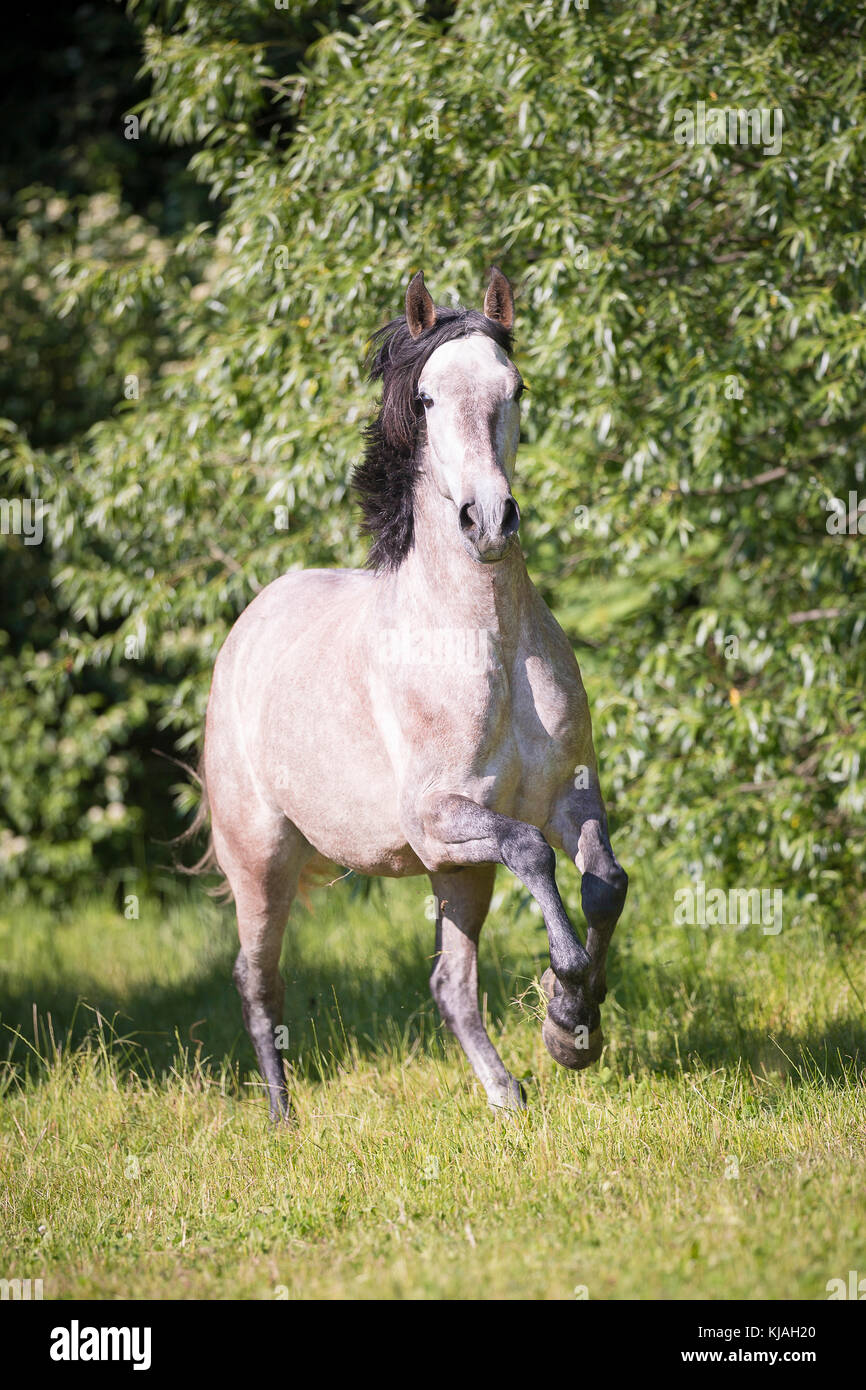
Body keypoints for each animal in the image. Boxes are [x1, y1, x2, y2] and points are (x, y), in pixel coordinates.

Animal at [198, 268, 625, 1117]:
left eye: (515, 388)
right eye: (426, 399)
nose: (488, 521)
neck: (486, 646)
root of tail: (250, 623)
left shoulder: (569, 794)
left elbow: (604, 883)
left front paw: (572, 1032)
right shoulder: (436, 819)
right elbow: (532, 850)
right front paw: (566, 995)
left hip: (457, 875)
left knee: (449, 985)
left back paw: (507, 1095)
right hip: (263, 859)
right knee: (258, 981)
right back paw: (282, 1118)